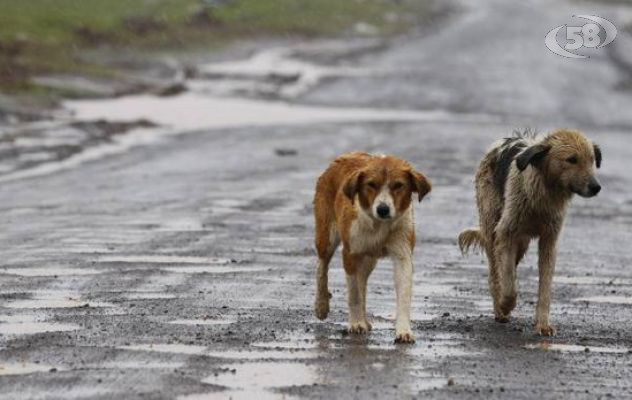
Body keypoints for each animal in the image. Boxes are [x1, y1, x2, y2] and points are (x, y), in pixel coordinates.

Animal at [314, 152, 432, 342]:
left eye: (398, 185)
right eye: (371, 184)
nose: (383, 209)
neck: (379, 226)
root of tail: (345, 156)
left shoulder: (402, 254)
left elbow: (403, 294)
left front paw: (403, 330)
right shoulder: (350, 253)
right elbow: (354, 294)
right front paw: (355, 323)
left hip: (369, 259)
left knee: (362, 280)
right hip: (327, 237)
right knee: (321, 267)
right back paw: (321, 305)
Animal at [460, 130, 604, 336]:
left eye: (592, 159)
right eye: (572, 159)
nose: (596, 187)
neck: (544, 195)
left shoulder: (549, 240)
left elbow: (545, 287)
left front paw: (543, 324)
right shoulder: (505, 233)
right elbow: (508, 283)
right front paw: (506, 304)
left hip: (522, 242)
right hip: (493, 228)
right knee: (495, 273)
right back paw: (499, 310)